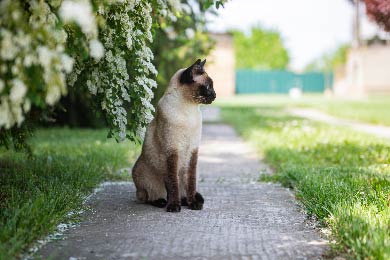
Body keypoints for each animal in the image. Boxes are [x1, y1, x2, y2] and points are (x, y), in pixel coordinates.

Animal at [133, 59, 215, 213]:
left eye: (212, 87)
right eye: (208, 87)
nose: (215, 95)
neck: (189, 111)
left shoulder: (193, 151)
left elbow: (190, 183)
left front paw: (193, 204)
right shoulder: (171, 151)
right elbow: (173, 183)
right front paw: (174, 206)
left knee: (185, 191)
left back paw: (187, 201)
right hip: (143, 174)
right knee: (150, 196)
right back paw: (162, 202)